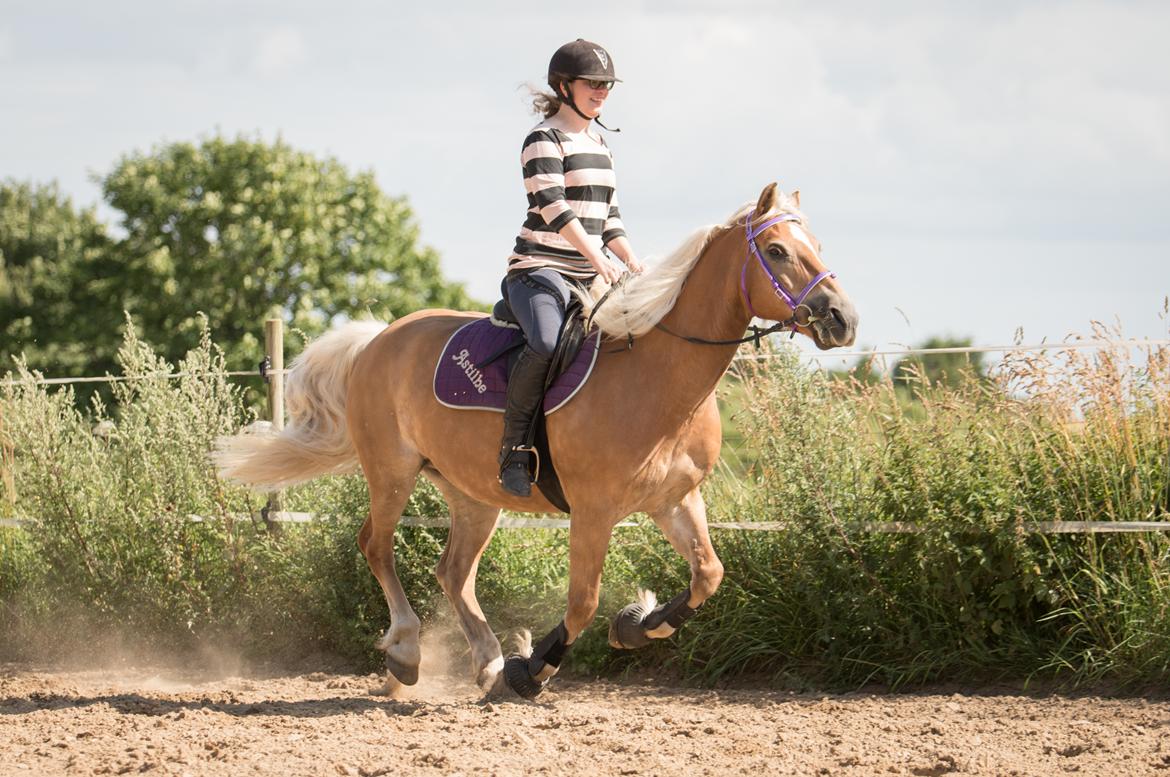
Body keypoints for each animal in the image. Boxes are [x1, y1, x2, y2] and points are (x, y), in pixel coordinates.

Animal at [215, 182, 861, 697]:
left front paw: (635, 625)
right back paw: (408, 653)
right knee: (376, 545)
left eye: (818, 245)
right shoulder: (594, 511)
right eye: (777, 251)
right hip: (391, 473)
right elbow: (582, 602)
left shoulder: (675, 499)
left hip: (474, 494)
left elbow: (708, 574)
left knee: (454, 572)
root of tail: (379, 339)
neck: (657, 377)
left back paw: (486, 662)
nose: (842, 319)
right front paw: (532, 671)